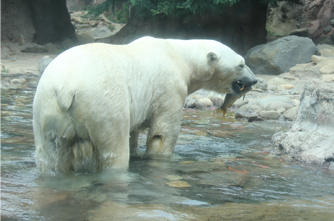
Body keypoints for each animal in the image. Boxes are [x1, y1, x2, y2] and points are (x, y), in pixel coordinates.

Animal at [32, 36, 258, 172]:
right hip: (103, 102)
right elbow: (163, 132)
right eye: (241, 64)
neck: (179, 56)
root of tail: (66, 89)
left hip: (46, 108)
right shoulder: (169, 86)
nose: (254, 80)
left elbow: (134, 133)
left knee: (50, 154)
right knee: (113, 147)